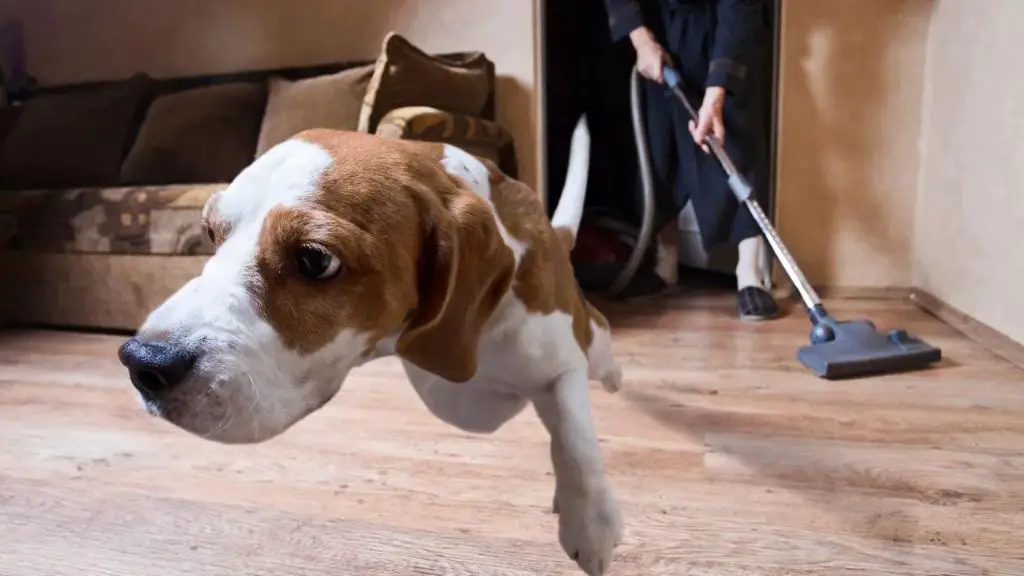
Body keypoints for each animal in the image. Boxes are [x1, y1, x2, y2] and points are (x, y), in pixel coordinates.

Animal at [117, 114, 622, 569]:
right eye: (210, 233)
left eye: (314, 260)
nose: (143, 361)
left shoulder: (560, 358)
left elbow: (573, 429)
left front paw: (590, 518)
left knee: (598, 335)